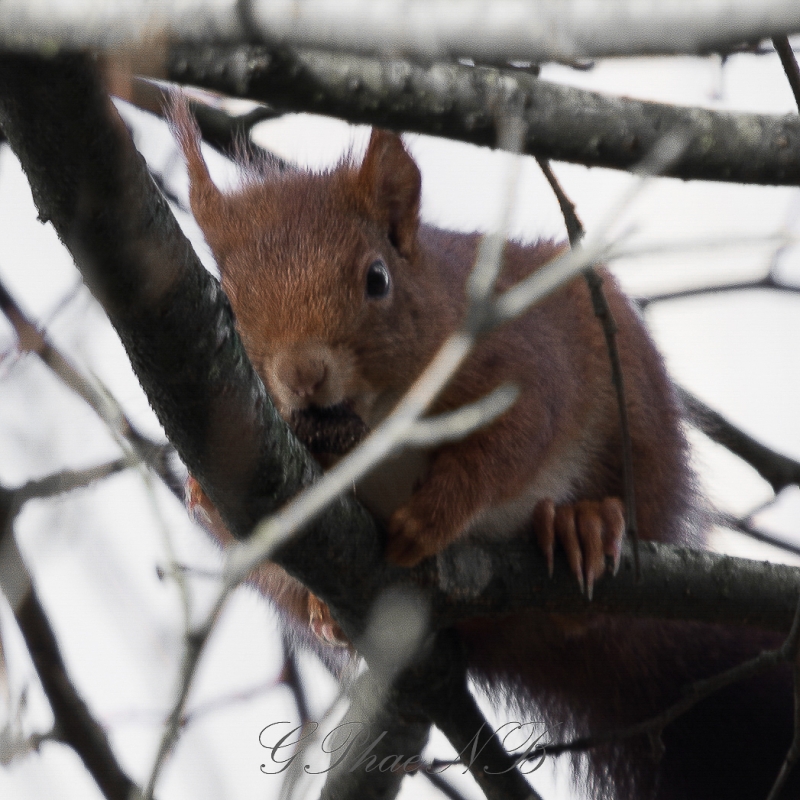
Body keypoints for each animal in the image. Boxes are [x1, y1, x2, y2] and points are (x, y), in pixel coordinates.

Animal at [172, 101, 796, 800]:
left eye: (377, 279)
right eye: (226, 300)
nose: (304, 374)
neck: (373, 424)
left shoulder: (518, 362)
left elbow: (509, 446)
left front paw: (432, 517)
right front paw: (206, 497)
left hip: (639, 423)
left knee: (592, 604)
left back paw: (582, 524)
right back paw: (323, 609)